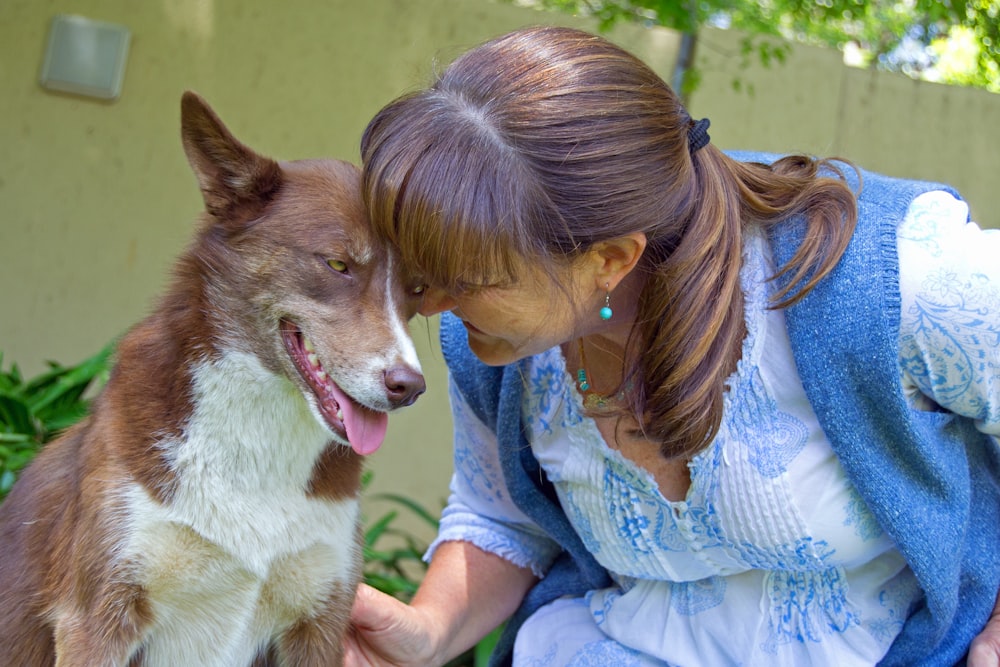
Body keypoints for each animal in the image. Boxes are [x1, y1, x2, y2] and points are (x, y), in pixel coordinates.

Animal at [0, 92, 426, 667]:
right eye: (337, 264)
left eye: (417, 288)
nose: (410, 386)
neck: (260, 431)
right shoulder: (96, 619)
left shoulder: (320, 623)